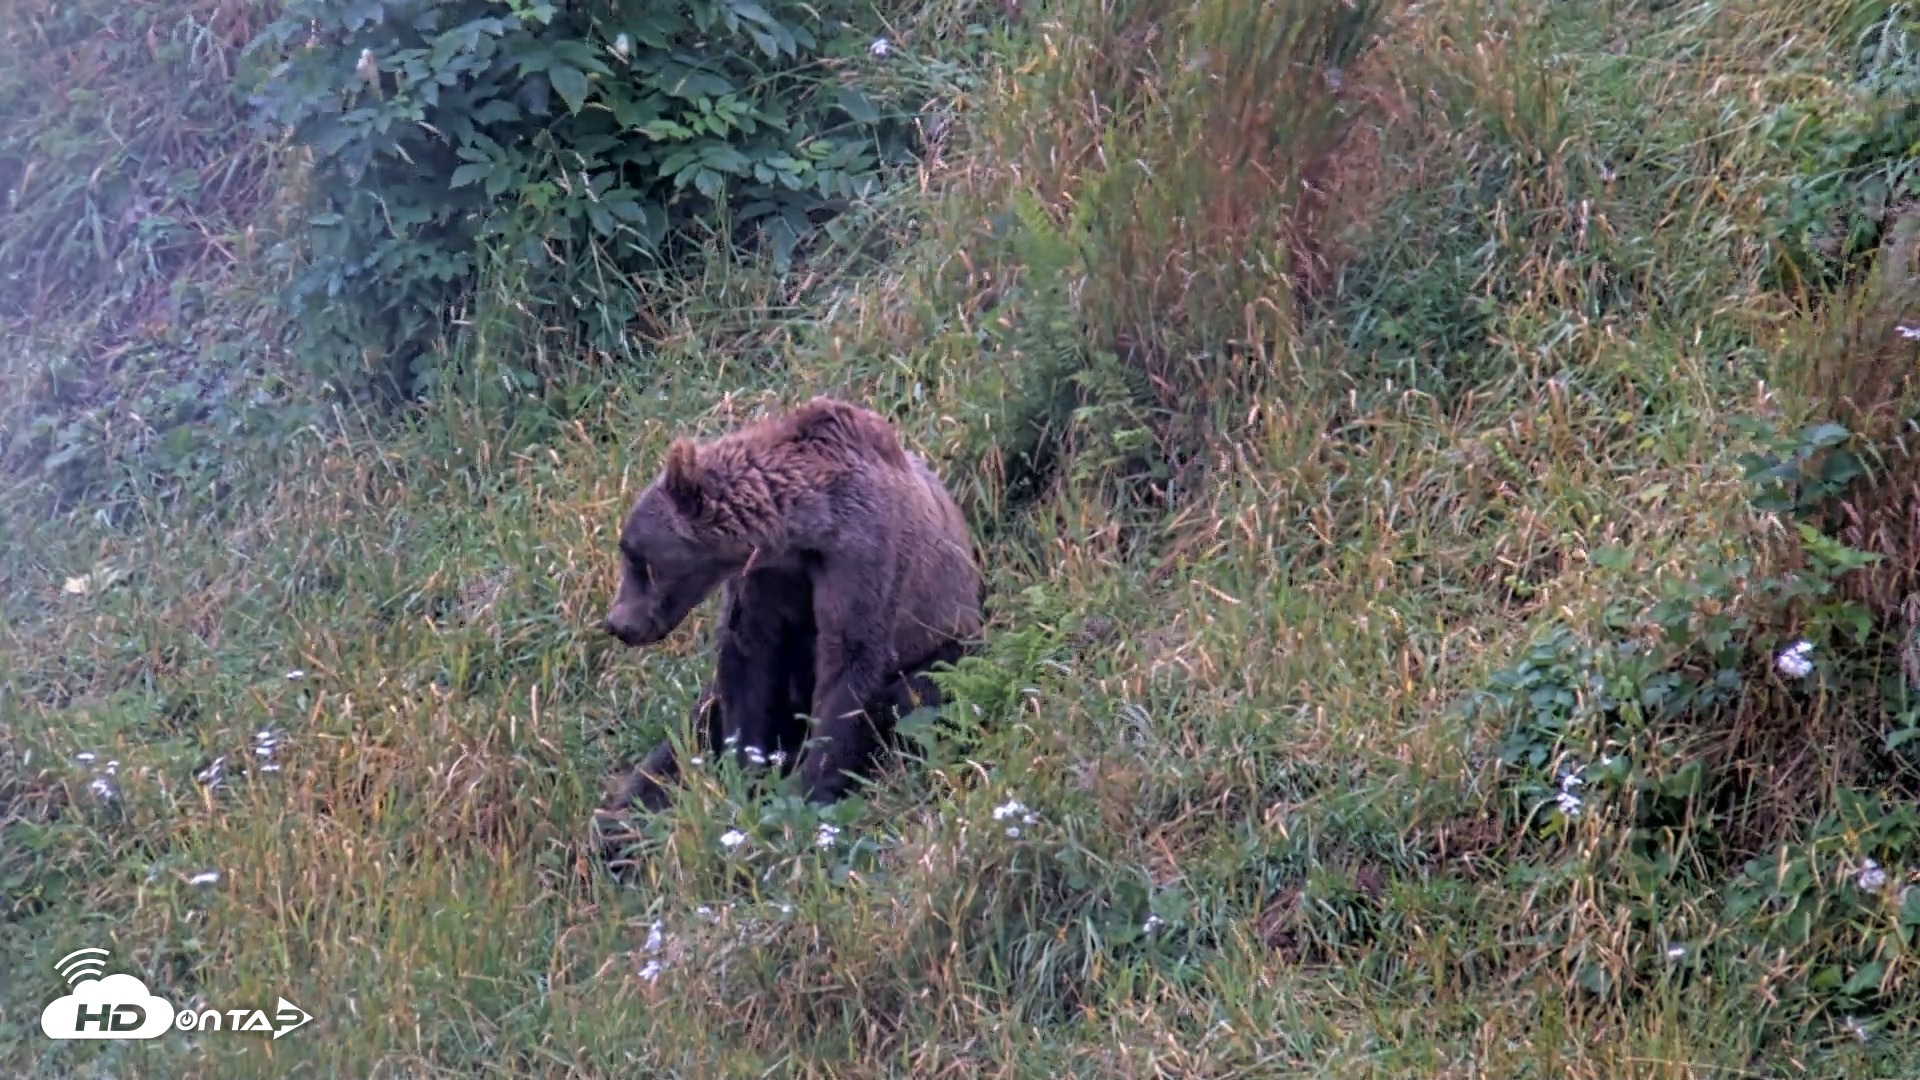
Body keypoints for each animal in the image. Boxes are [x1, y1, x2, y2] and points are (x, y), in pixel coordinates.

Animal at [596, 396, 984, 820]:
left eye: (635, 555)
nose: (617, 623)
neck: (806, 531)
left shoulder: (864, 557)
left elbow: (853, 661)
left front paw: (810, 790)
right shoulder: (766, 580)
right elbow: (747, 664)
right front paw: (746, 772)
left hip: (951, 641)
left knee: (918, 692)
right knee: (685, 734)